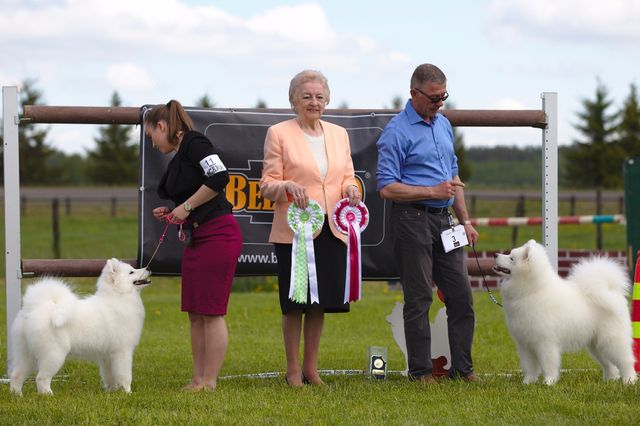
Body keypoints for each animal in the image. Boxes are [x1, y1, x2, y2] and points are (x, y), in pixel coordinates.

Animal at [9, 258, 151, 394]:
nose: (148, 268)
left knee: (16, 375)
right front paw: (128, 393)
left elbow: (109, 376)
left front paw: (112, 391)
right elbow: (125, 376)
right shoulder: (123, 351)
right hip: (54, 354)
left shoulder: (107, 356)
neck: (119, 297)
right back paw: (48, 395)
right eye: (131, 272)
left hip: (26, 353)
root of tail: (34, 308)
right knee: (41, 378)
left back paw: (17, 396)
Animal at [496, 240, 636, 386]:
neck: (531, 291)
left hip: (612, 340)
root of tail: (611, 290)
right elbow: (529, 366)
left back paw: (629, 380)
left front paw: (549, 382)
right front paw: (528, 383)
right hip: (597, 344)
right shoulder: (525, 344)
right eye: (509, 253)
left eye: (511, 258)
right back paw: (609, 380)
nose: (495, 254)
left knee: (626, 361)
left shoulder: (545, 342)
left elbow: (548, 365)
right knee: (610, 365)